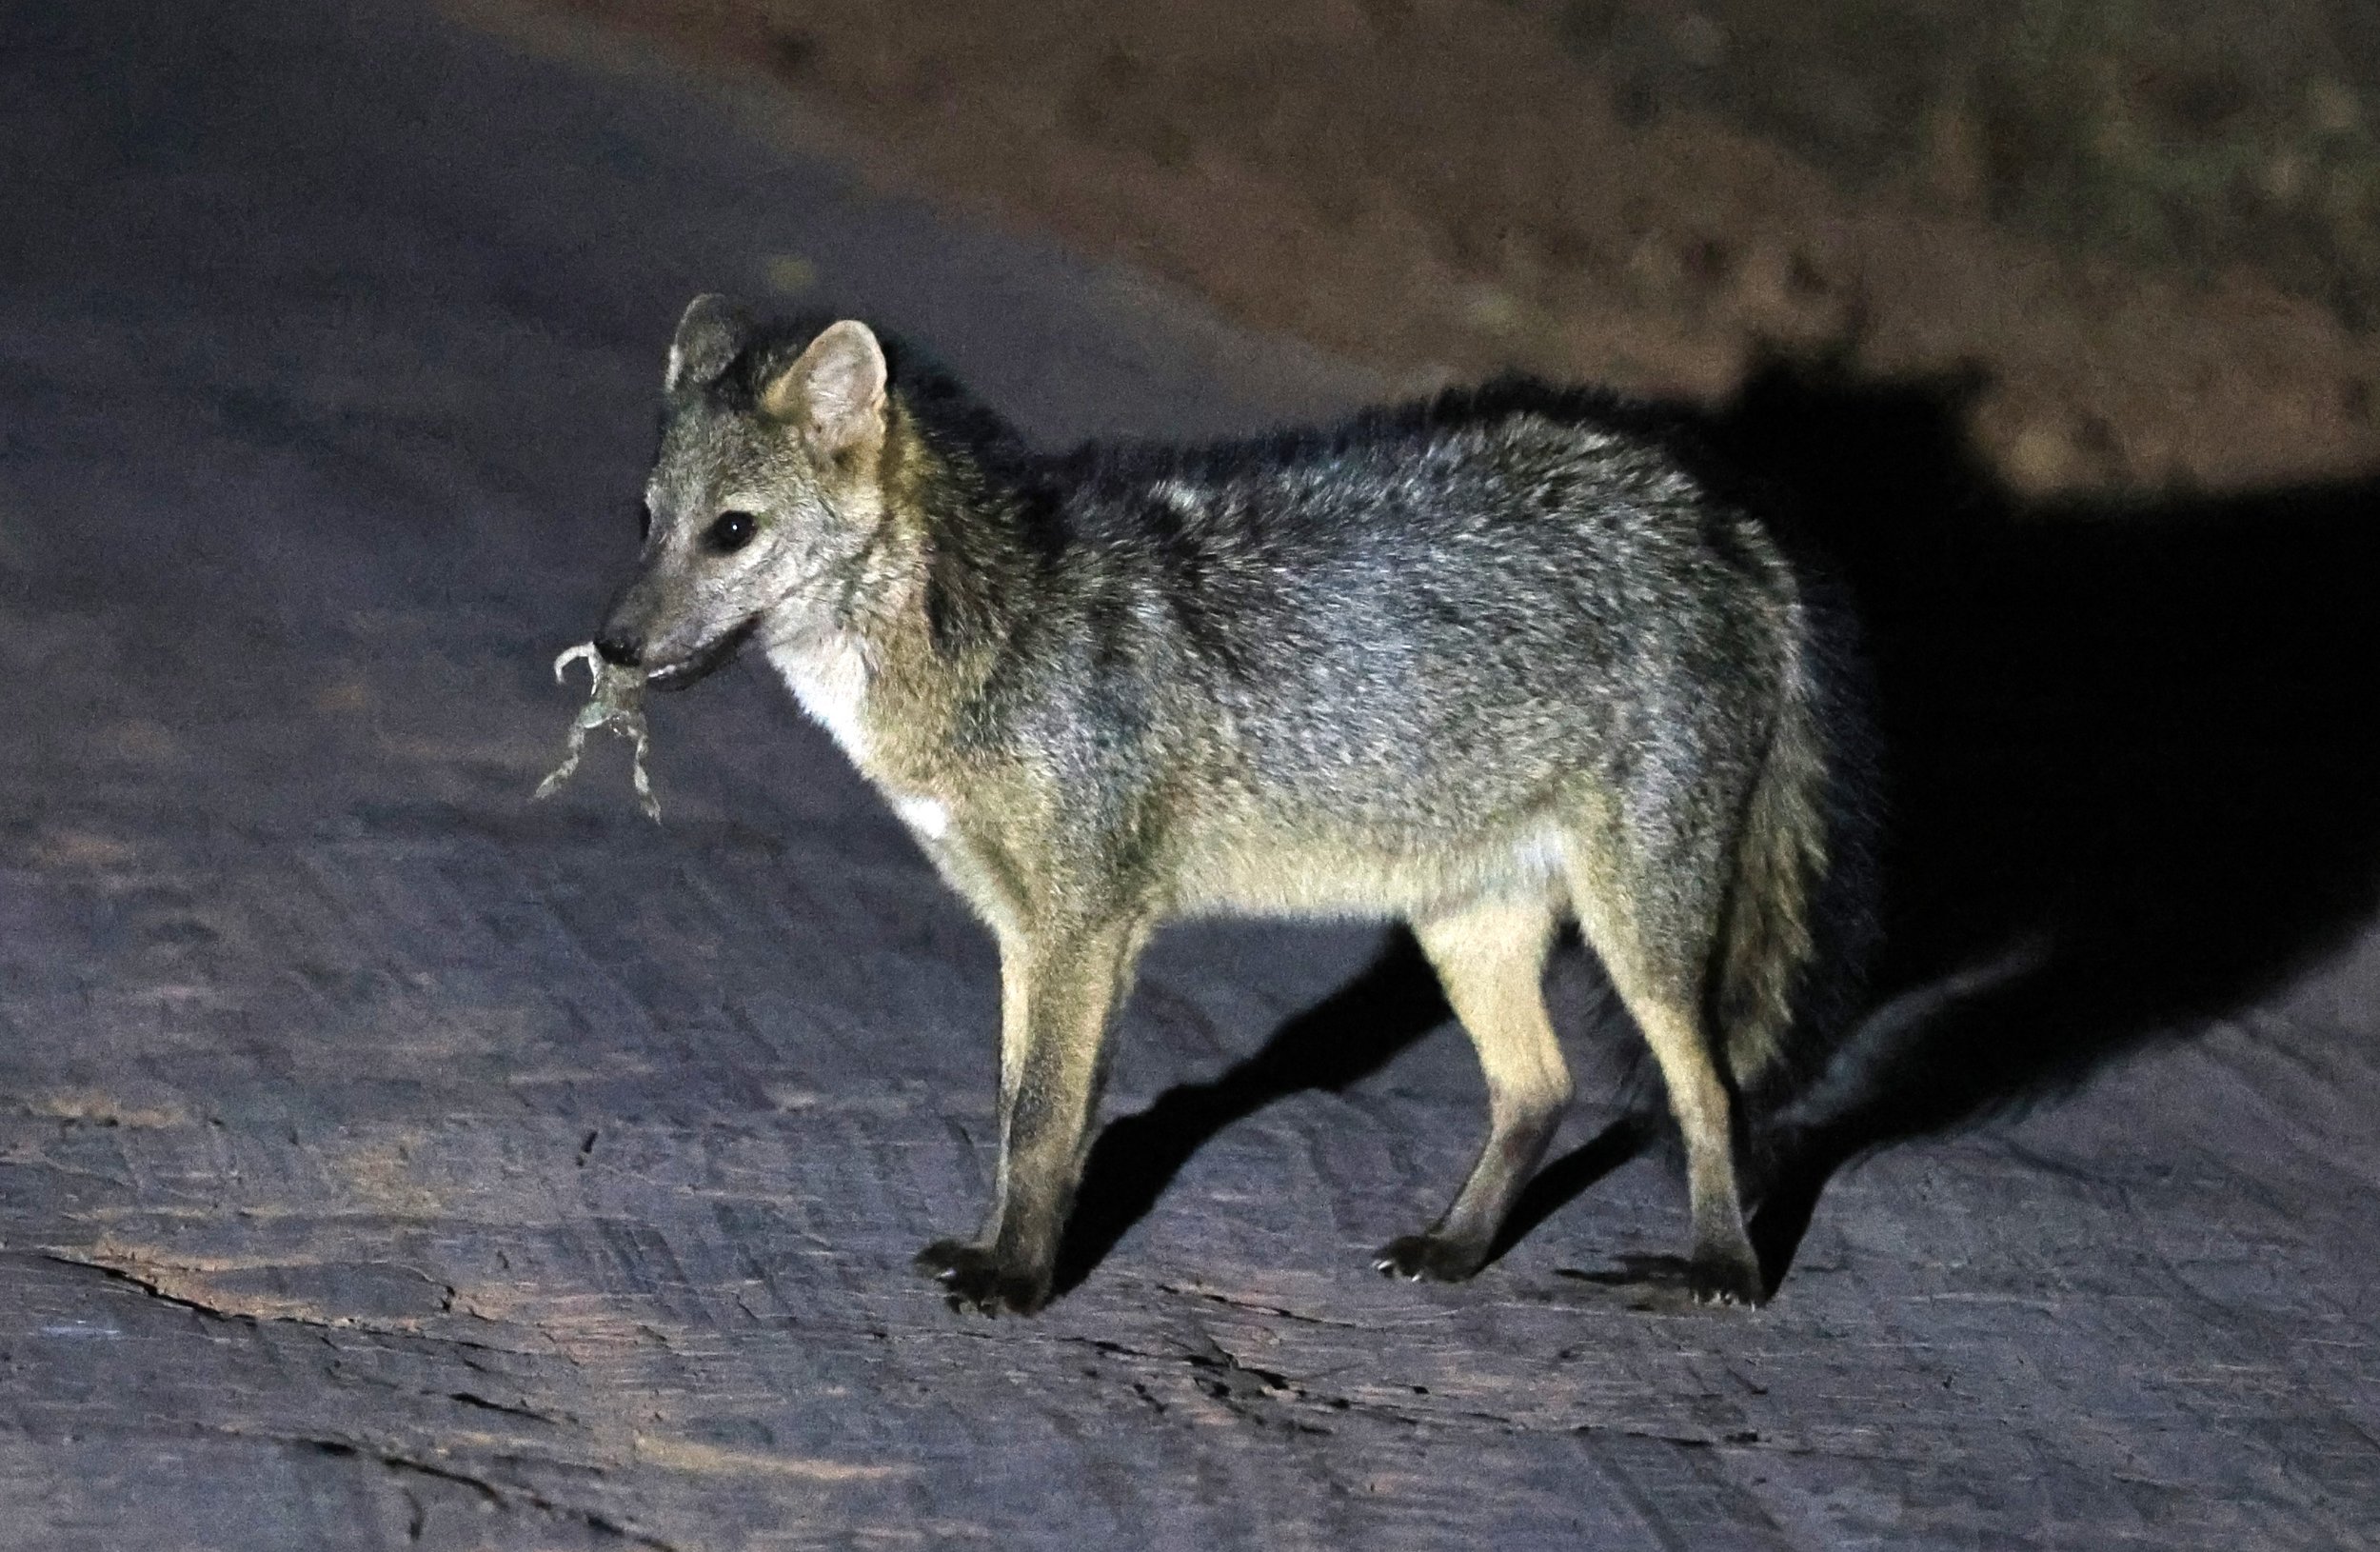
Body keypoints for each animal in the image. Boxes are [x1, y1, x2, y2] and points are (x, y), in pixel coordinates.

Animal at [586, 296, 1878, 1314]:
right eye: (645, 520)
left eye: (733, 531)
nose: (612, 647)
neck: (989, 633)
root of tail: (1725, 519)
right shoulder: (1022, 931)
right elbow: (1013, 1113)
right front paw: (1001, 1249)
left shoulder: (1087, 929)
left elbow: (1046, 1119)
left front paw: (1018, 1282)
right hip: (1464, 921)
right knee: (1540, 1088)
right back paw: (1455, 1250)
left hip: (1638, 930)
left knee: (1709, 1092)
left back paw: (1721, 1271)